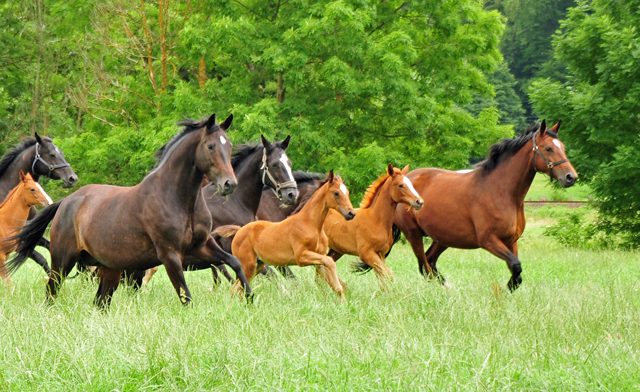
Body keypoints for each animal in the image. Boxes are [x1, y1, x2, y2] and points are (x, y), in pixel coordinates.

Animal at [0, 133, 77, 274]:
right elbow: (41, 258)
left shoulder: (32, 232)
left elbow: (50, 248)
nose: (72, 178)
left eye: (61, 153)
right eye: (52, 155)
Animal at [215, 171, 356, 300]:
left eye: (347, 192)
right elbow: (330, 262)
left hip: (258, 266)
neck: (311, 224)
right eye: (336, 193)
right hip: (248, 266)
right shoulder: (302, 257)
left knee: (236, 288)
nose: (351, 213)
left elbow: (331, 281)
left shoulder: (318, 259)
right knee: (239, 288)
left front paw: (343, 303)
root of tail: (239, 231)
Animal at [392, 120, 576, 290]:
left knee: (430, 261)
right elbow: (516, 266)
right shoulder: (488, 240)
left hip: (443, 237)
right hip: (414, 234)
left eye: (563, 147)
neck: (501, 191)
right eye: (548, 148)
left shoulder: (511, 241)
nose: (571, 177)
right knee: (425, 267)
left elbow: (516, 274)